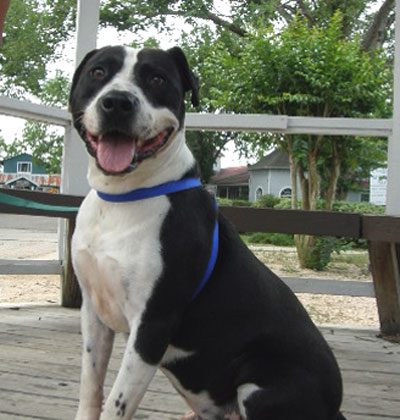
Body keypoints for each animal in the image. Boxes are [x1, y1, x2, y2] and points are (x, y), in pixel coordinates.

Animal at [69, 46, 346, 420]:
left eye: (157, 78)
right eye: (98, 72)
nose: (117, 102)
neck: (123, 198)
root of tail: (334, 408)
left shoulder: (152, 324)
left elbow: (116, 403)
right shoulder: (94, 312)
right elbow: (91, 387)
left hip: (260, 388)